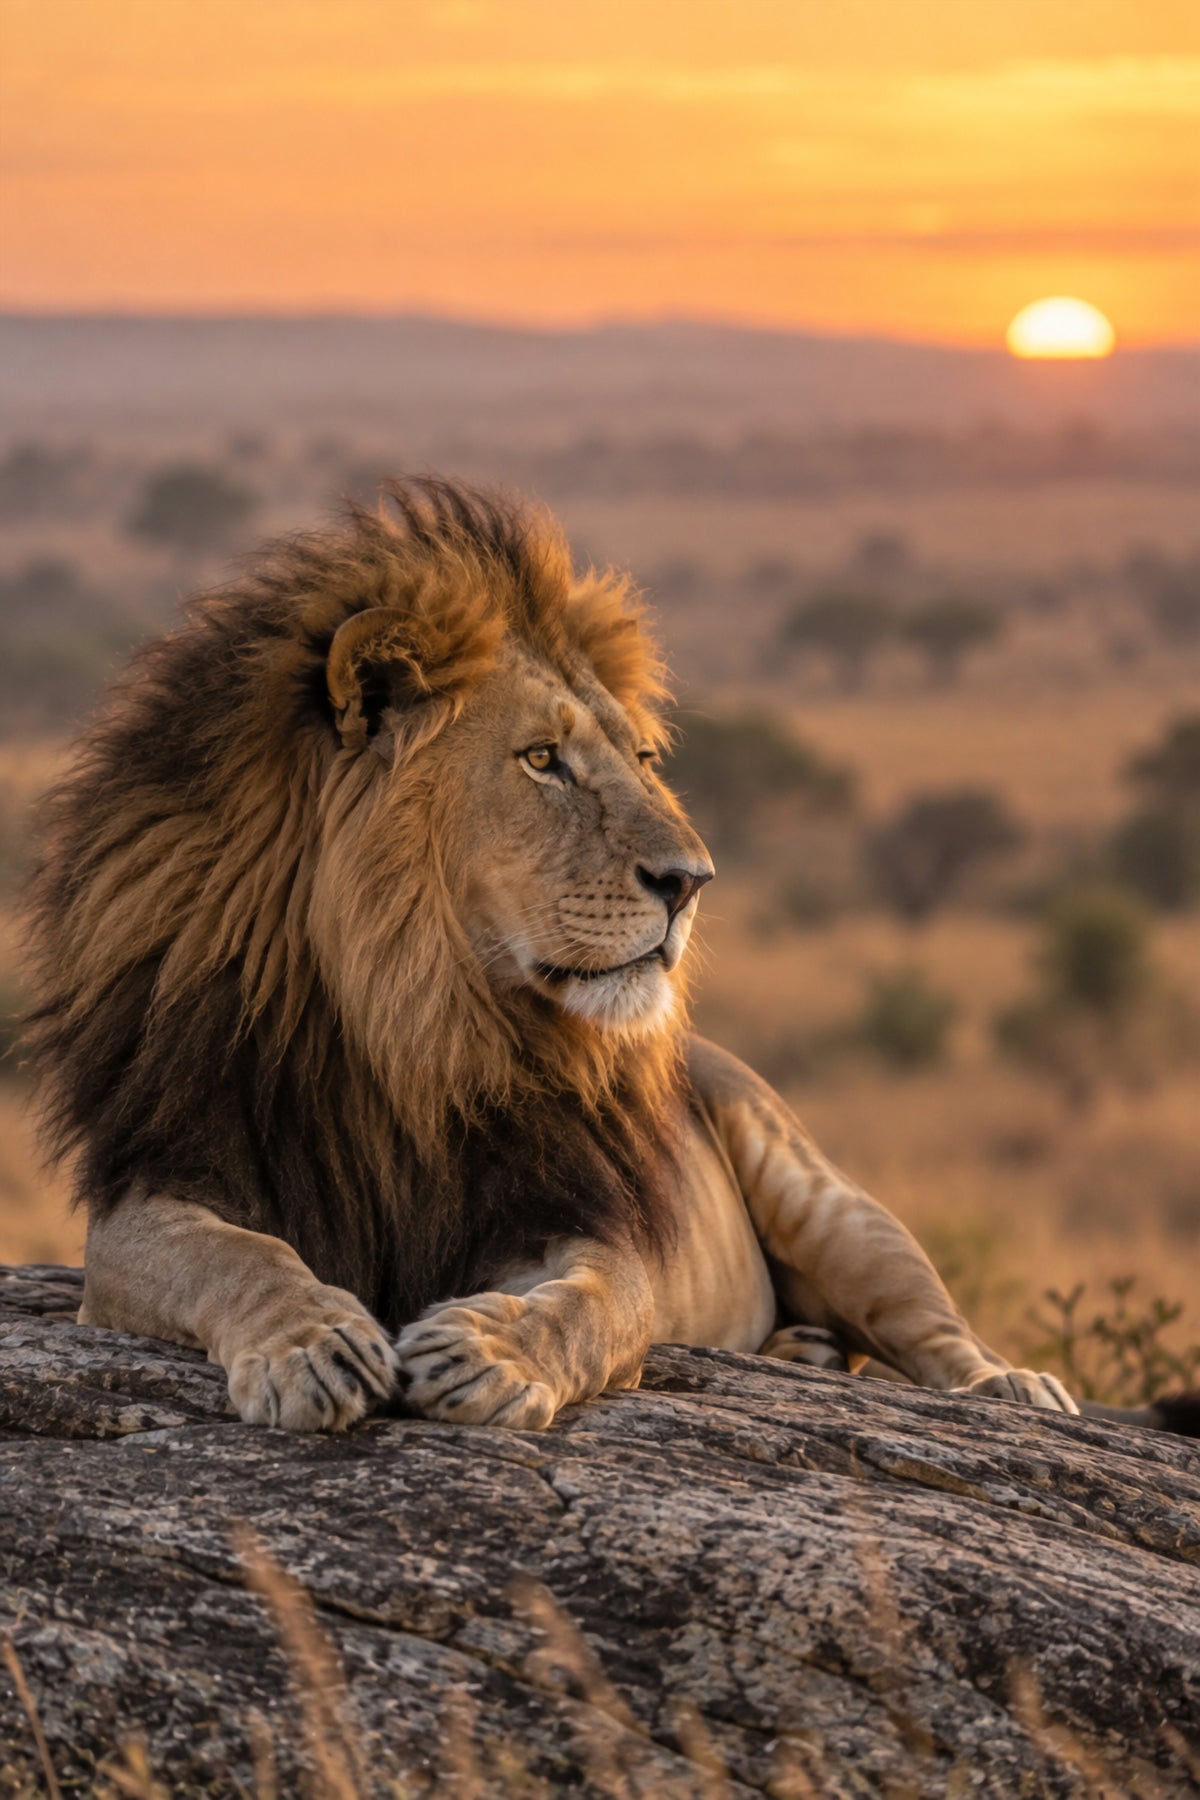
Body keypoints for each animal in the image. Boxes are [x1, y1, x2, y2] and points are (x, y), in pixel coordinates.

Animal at [23, 477, 1085, 1433]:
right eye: (543, 760)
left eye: (644, 761)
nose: (692, 880)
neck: (409, 1027)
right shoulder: (161, 1182)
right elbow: (240, 1256)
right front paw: (311, 1346)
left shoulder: (577, 1216)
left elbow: (592, 1306)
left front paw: (490, 1355)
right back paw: (802, 1351)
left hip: (827, 1202)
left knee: (931, 1325)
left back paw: (1013, 1387)